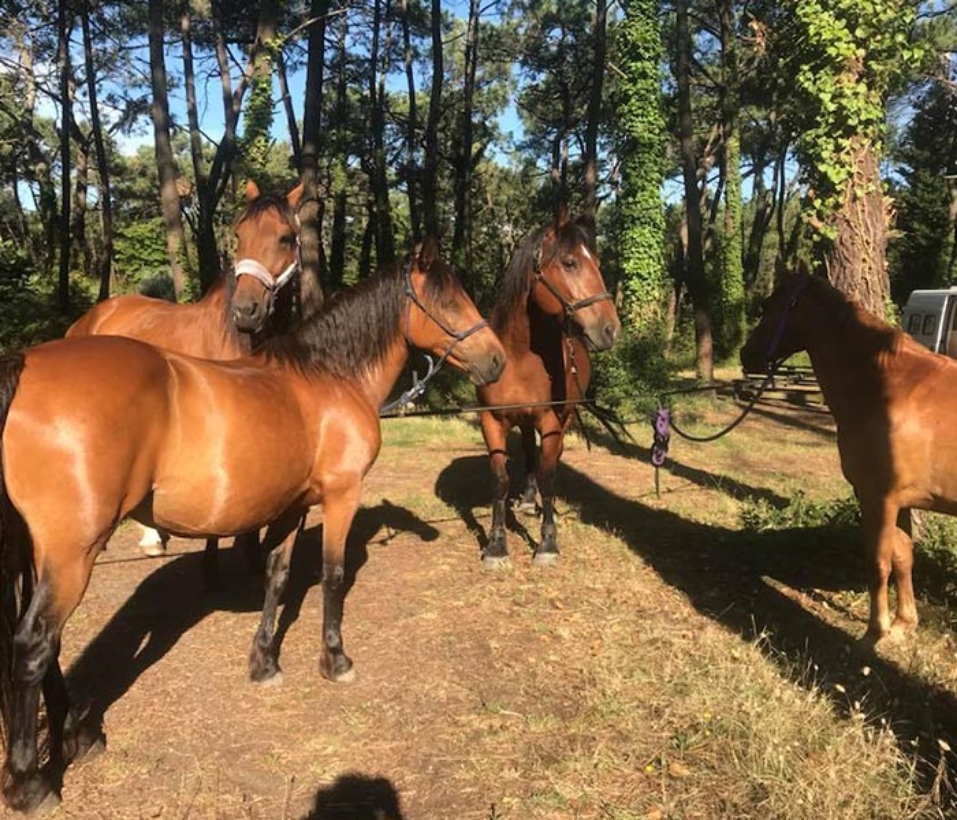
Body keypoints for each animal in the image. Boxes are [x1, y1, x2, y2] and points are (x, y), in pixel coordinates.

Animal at [0, 239, 508, 812]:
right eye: (448, 301)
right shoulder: (340, 496)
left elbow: (278, 577)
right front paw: (335, 659)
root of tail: (27, 364)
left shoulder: (293, 506)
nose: (496, 359)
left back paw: (78, 739)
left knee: (48, 647)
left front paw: (264, 662)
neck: (330, 379)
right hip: (73, 554)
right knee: (34, 644)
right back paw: (30, 783)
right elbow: (333, 576)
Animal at [476, 211, 620, 568]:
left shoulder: (552, 421)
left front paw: (548, 544)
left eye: (597, 262)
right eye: (569, 263)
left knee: (549, 458)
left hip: (564, 418)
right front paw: (496, 546)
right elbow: (499, 481)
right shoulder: (492, 421)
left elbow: (548, 475)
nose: (610, 329)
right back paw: (528, 501)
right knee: (530, 451)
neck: (518, 358)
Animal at [740, 272, 956, 644]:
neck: (885, 387)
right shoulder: (901, 501)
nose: (745, 354)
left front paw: (875, 632)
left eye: (769, 306)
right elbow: (903, 558)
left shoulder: (878, 498)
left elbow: (879, 562)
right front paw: (902, 624)